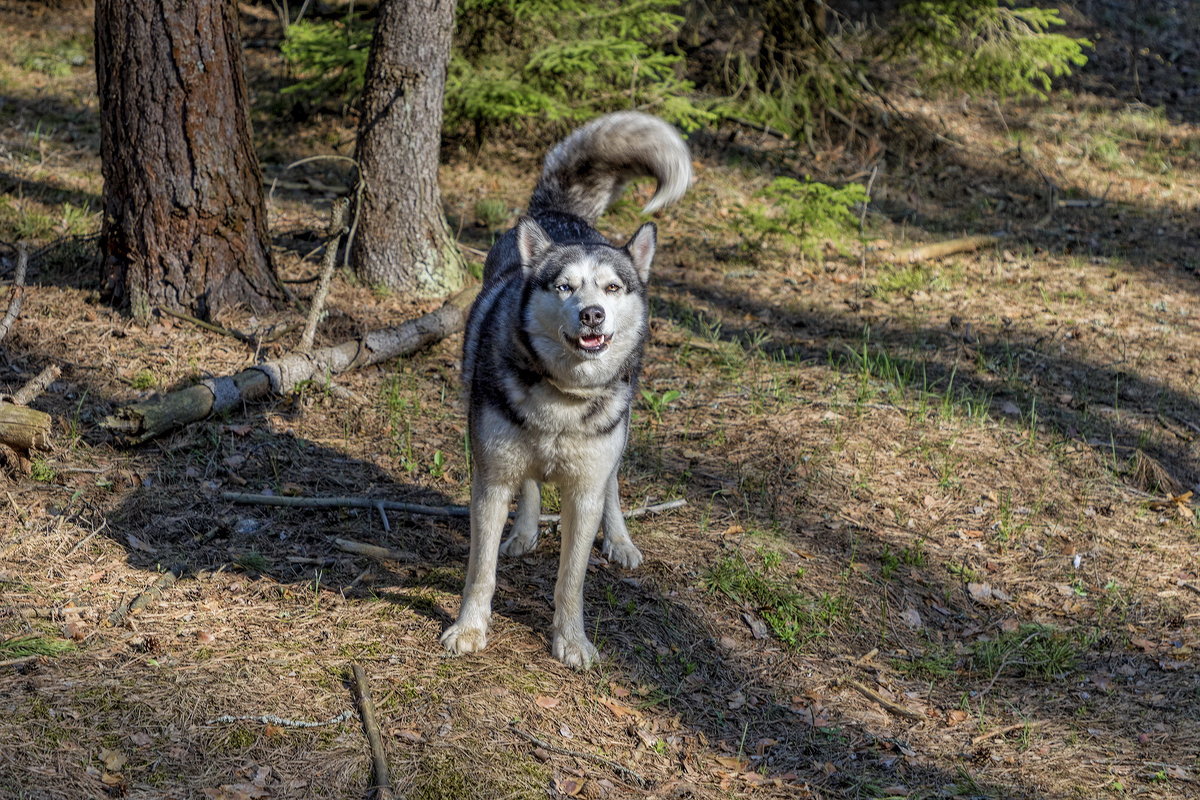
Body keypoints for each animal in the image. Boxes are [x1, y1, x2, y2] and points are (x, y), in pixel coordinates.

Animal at [441, 110, 691, 671]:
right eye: (564, 287)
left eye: (613, 288)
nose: (592, 314)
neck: (562, 398)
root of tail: (558, 215)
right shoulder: (489, 480)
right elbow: (480, 571)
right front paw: (470, 629)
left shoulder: (584, 493)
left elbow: (570, 581)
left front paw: (572, 641)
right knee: (531, 483)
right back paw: (525, 529)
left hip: (621, 429)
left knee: (615, 482)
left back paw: (619, 539)